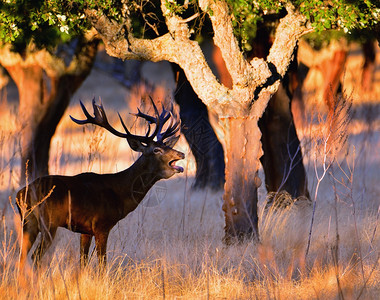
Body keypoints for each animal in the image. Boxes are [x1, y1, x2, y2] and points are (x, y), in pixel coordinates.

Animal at [15, 98, 185, 268]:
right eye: (157, 150)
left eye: (166, 145)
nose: (181, 154)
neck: (120, 194)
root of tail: (22, 193)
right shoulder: (101, 225)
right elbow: (102, 264)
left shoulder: (85, 230)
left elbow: (83, 261)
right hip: (49, 222)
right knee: (35, 256)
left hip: (28, 222)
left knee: (21, 255)